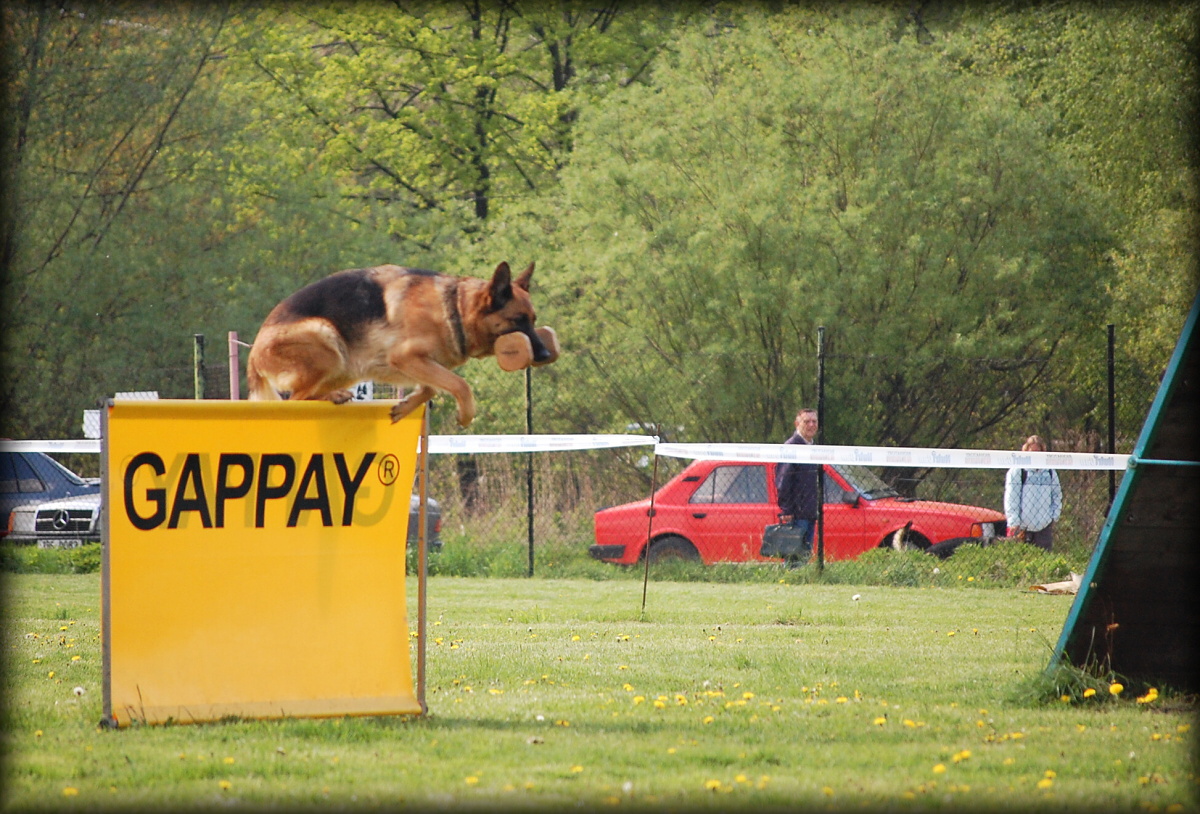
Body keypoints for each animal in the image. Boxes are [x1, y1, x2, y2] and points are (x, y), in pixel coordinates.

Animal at [249, 262, 556, 429]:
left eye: (533, 320)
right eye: (518, 320)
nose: (544, 354)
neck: (454, 308)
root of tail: (253, 354)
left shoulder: (414, 365)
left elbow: (433, 386)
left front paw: (406, 405)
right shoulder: (405, 357)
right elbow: (460, 385)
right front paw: (466, 414)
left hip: (346, 367)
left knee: (304, 395)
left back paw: (333, 395)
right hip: (325, 338)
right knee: (295, 399)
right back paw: (332, 397)